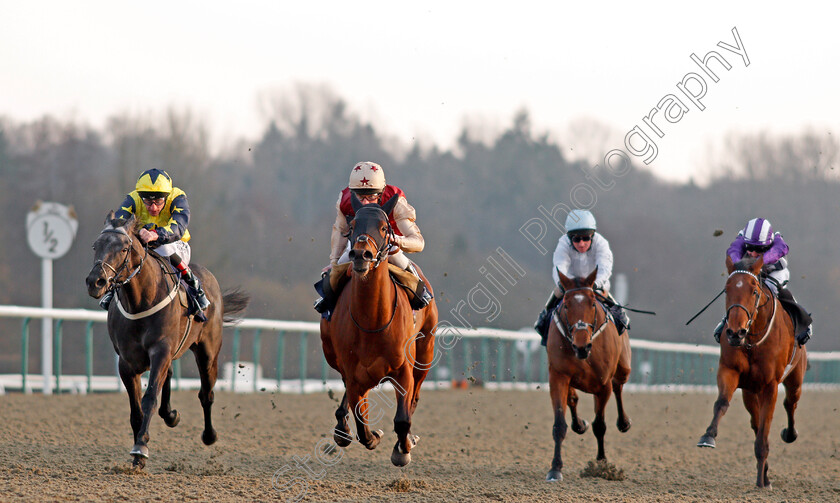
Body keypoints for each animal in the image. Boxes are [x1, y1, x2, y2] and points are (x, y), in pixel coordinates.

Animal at [85, 213, 249, 468]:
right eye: (96, 246)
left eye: (123, 248)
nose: (96, 282)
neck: (141, 301)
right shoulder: (127, 362)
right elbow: (136, 409)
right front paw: (137, 452)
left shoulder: (161, 350)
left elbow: (150, 398)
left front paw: (141, 447)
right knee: (170, 376)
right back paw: (171, 415)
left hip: (208, 353)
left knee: (206, 393)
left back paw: (209, 435)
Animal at [320, 194, 440, 468]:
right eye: (352, 227)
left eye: (385, 228)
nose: (361, 254)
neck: (372, 321)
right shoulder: (353, 373)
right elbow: (362, 424)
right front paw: (372, 435)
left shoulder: (403, 370)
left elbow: (403, 419)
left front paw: (403, 450)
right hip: (334, 356)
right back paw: (342, 428)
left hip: (425, 353)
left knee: (415, 397)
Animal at [544, 270, 632, 482]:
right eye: (566, 305)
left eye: (592, 303)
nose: (581, 346)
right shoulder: (558, 376)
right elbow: (559, 424)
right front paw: (555, 469)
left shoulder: (603, 384)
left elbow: (599, 425)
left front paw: (601, 465)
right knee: (573, 399)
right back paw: (579, 424)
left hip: (624, 367)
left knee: (619, 386)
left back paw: (624, 422)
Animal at [696, 256, 808, 488]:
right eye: (727, 289)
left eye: (754, 291)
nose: (735, 332)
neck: (752, 341)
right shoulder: (730, 371)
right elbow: (722, 403)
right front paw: (708, 436)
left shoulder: (770, 385)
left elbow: (765, 430)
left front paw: (760, 481)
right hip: (750, 391)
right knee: (755, 422)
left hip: (795, 378)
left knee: (790, 403)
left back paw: (789, 435)